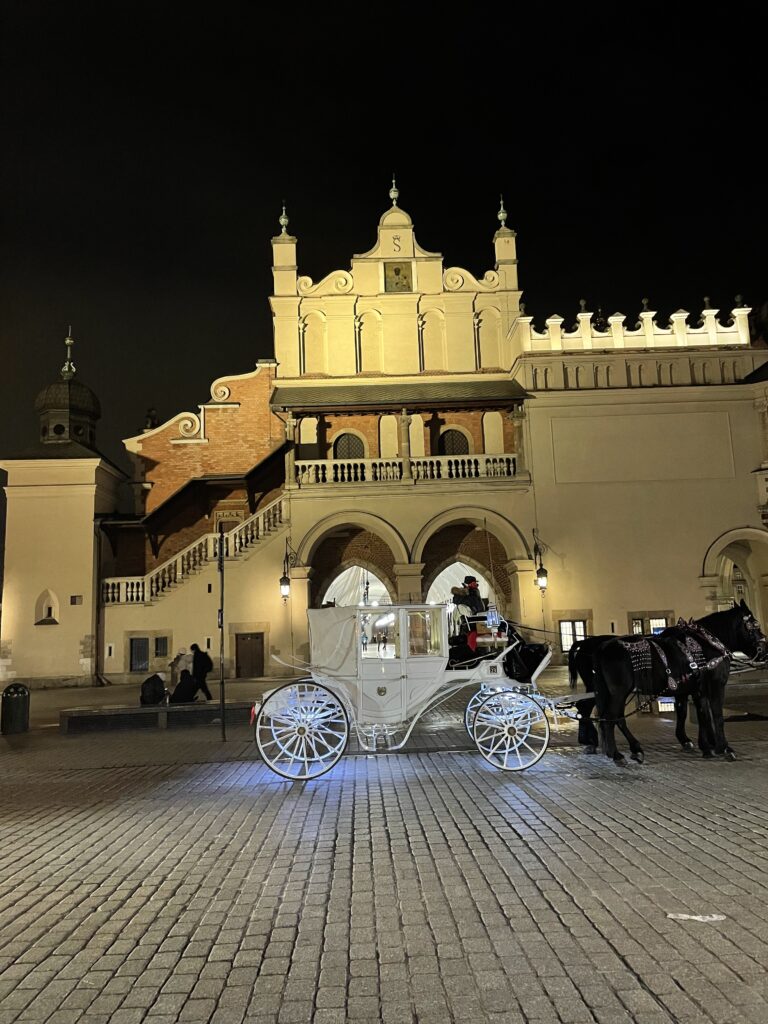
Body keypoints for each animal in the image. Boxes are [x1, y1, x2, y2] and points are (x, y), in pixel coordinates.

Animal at [593, 602, 765, 765]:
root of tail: (603, 647)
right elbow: (717, 715)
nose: (764, 651)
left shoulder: (697, 689)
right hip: (619, 692)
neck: (707, 645)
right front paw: (725, 748)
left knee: (615, 719)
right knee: (611, 718)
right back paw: (618, 755)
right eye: (755, 625)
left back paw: (632, 750)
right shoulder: (716, 685)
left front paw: (706, 747)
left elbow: (701, 714)